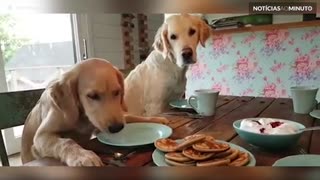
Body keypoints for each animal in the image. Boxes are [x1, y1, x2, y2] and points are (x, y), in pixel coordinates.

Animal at [21, 58, 169, 167]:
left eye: (117, 92)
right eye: (92, 96)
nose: (116, 128)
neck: (82, 116)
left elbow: (131, 116)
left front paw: (156, 119)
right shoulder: (41, 137)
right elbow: (66, 142)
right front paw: (83, 156)